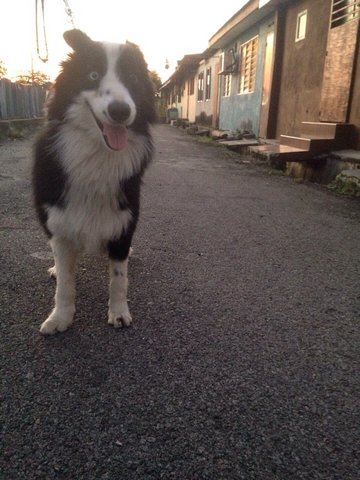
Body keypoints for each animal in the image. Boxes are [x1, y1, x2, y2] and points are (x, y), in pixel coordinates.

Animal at [31, 30, 155, 336]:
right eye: (93, 75)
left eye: (132, 78)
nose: (120, 111)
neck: (97, 153)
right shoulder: (58, 219)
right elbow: (65, 281)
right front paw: (60, 317)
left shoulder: (124, 219)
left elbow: (119, 278)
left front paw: (119, 312)